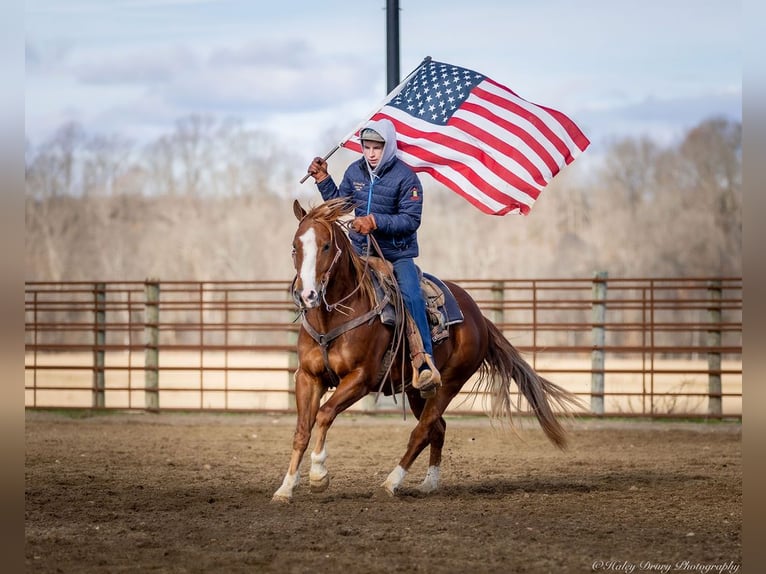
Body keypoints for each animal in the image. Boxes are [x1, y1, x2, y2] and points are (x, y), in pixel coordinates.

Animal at [272, 199, 584, 504]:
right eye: (294, 246)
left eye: (326, 246)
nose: (307, 295)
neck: (333, 318)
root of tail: (479, 317)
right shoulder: (308, 377)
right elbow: (302, 430)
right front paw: (285, 489)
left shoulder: (361, 379)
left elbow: (325, 414)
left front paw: (318, 475)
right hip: (416, 390)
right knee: (438, 427)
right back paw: (429, 483)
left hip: (450, 383)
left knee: (421, 431)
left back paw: (390, 484)